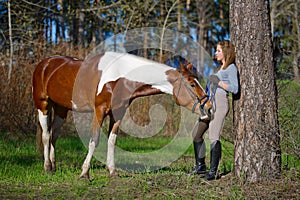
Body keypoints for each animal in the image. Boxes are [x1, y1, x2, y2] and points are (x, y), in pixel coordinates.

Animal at [31, 51, 212, 180]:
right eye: (192, 84)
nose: (209, 107)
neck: (119, 76)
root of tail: (44, 64)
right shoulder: (99, 110)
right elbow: (94, 140)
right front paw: (84, 174)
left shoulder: (118, 113)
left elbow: (112, 140)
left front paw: (112, 171)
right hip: (43, 105)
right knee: (46, 135)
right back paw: (47, 167)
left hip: (61, 109)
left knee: (54, 135)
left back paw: (54, 166)